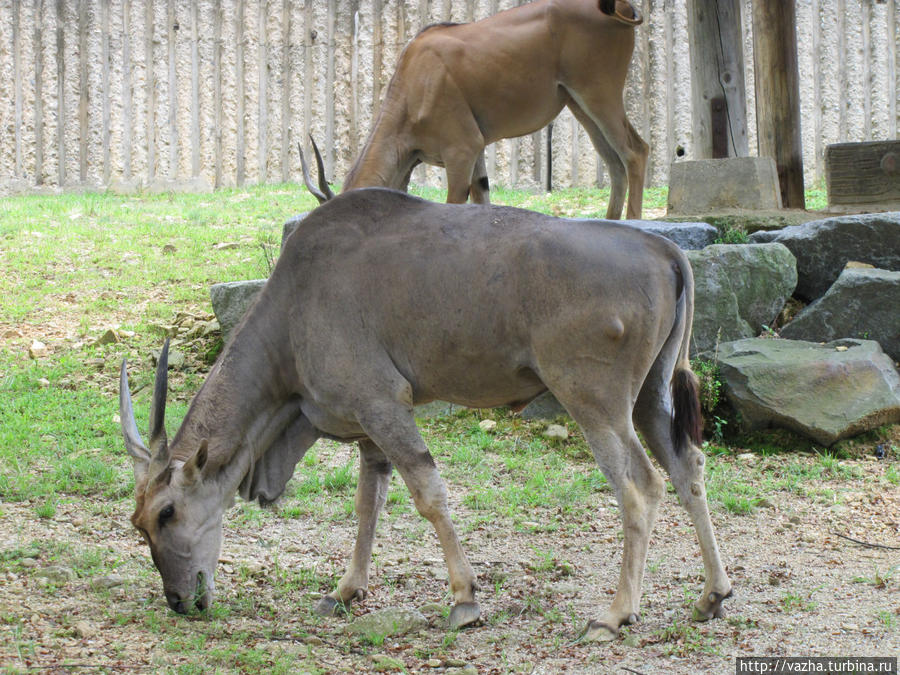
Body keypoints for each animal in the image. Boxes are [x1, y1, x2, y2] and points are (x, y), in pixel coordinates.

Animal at [119, 189, 732, 640]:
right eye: (139, 523)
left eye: (168, 513)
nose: (180, 600)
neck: (295, 305)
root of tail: (664, 251)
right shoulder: (369, 429)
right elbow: (368, 504)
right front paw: (346, 591)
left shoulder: (384, 404)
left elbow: (427, 494)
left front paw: (465, 600)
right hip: (651, 400)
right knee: (689, 470)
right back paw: (712, 596)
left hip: (595, 403)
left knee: (640, 486)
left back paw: (614, 614)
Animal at [326, 0, 652, 218]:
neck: (414, 79)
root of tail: (620, 8)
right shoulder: (477, 152)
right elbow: (483, 199)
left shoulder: (462, 150)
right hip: (579, 104)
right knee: (614, 162)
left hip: (599, 94)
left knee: (636, 150)